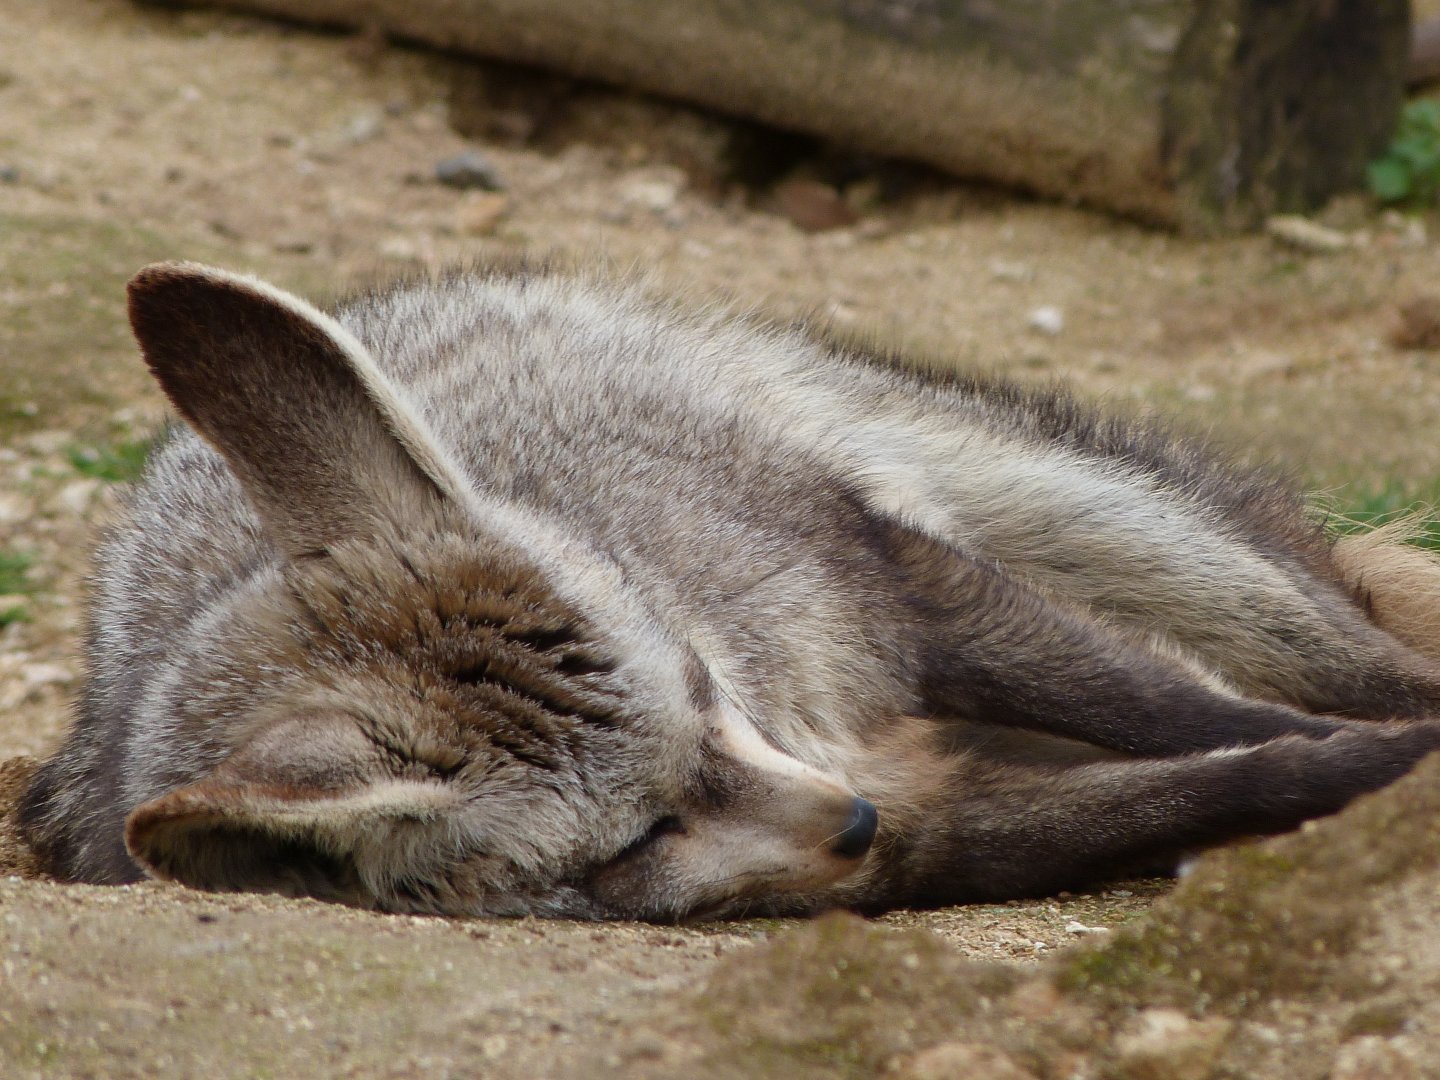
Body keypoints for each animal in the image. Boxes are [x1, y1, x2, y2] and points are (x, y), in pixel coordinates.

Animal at [18, 259, 1440, 921]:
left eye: (701, 685)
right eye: (635, 841)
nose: (854, 817)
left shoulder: (898, 601)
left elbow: (1190, 717)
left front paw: (1390, 745)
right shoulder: (921, 834)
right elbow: (1203, 788)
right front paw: (1346, 781)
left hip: (1107, 532)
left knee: (1325, 639)